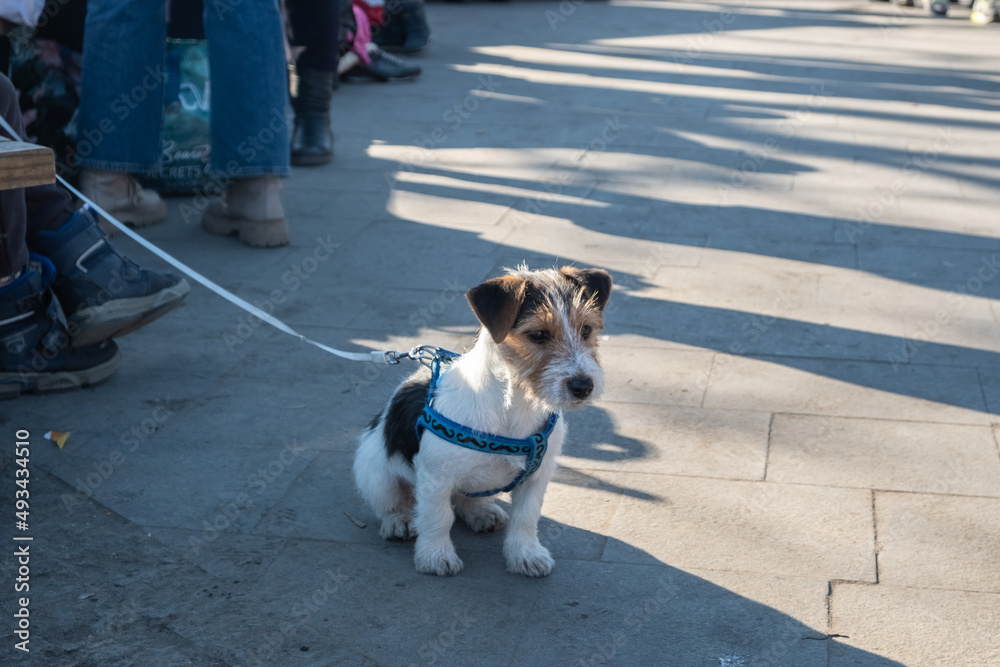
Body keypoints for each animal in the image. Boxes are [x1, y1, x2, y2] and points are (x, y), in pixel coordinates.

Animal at [356, 264, 612, 576]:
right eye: (538, 334)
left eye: (586, 329)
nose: (583, 386)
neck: (515, 405)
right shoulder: (435, 478)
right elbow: (437, 518)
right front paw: (435, 556)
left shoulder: (537, 478)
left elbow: (526, 518)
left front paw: (525, 554)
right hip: (376, 474)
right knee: (394, 502)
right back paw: (399, 520)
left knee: (468, 499)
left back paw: (482, 513)